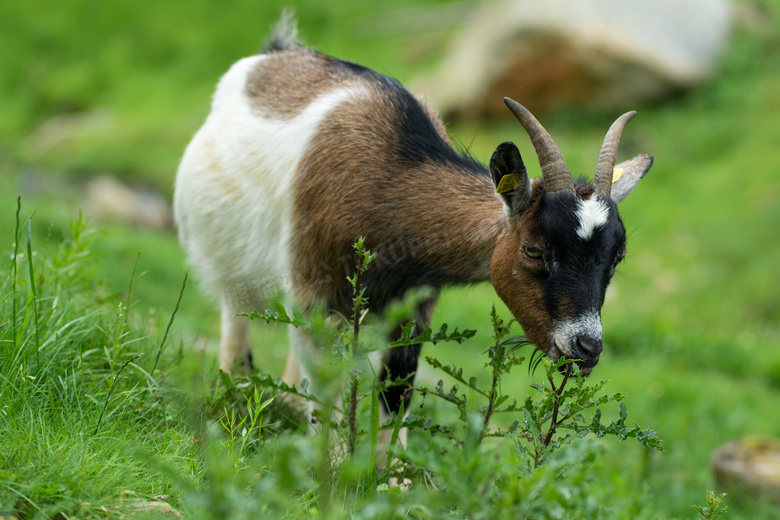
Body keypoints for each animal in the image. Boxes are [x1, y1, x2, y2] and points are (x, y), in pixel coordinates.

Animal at [175, 20, 652, 426]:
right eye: (533, 249)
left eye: (617, 257)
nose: (586, 347)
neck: (389, 189)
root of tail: (274, 54)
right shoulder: (315, 289)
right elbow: (330, 394)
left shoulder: (414, 304)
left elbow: (395, 392)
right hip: (226, 261)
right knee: (237, 321)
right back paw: (236, 396)